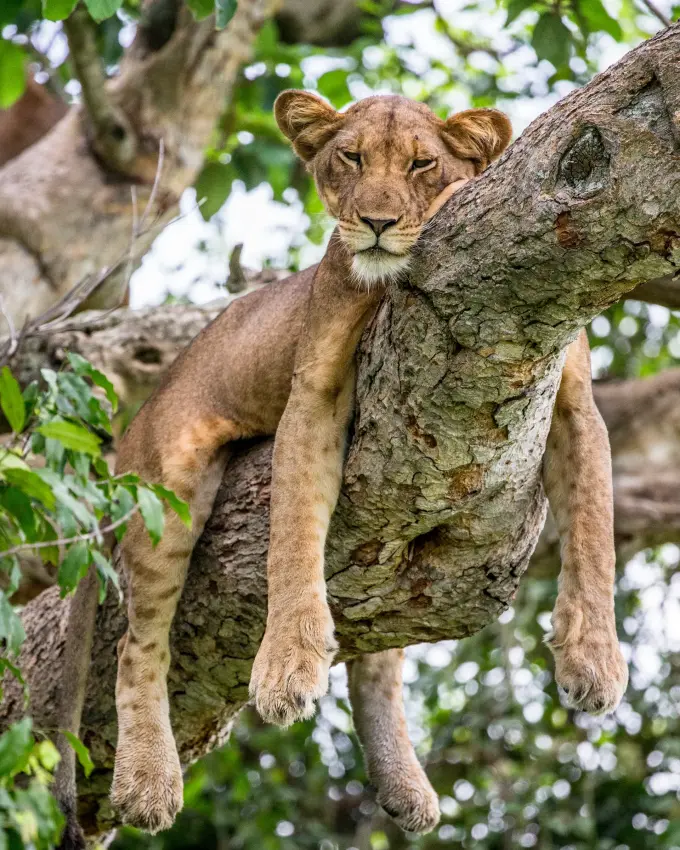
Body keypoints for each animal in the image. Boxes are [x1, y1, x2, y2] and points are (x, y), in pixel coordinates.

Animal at [55, 91, 628, 847]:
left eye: (422, 164)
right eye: (350, 158)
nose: (378, 224)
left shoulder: (575, 404)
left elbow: (595, 532)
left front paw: (595, 659)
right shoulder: (315, 392)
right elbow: (292, 537)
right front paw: (286, 667)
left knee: (381, 656)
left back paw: (404, 785)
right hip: (165, 487)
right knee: (136, 648)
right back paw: (147, 783)